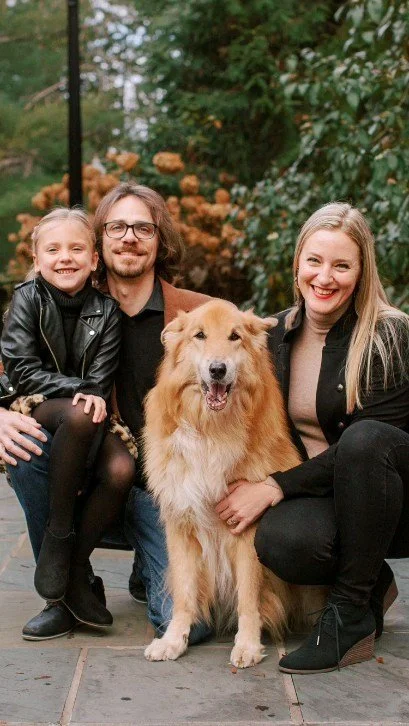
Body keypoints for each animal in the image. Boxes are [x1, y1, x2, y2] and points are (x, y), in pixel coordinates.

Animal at [143, 299, 314, 668]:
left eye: (235, 336)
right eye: (200, 336)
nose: (217, 370)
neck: (212, 428)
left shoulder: (248, 530)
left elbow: (248, 597)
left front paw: (247, 644)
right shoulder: (181, 525)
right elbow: (184, 594)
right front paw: (173, 640)